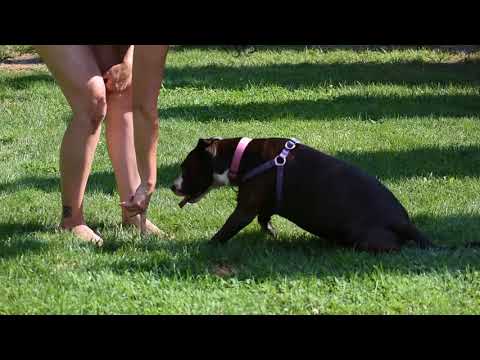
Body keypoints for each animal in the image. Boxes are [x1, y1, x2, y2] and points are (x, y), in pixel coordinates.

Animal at [171, 138, 470, 253]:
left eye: (185, 167)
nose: (173, 186)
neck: (240, 156)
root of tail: (404, 221)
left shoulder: (245, 207)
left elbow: (227, 229)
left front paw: (206, 245)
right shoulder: (264, 203)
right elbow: (264, 218)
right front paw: (272, 233)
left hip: (366, 239)